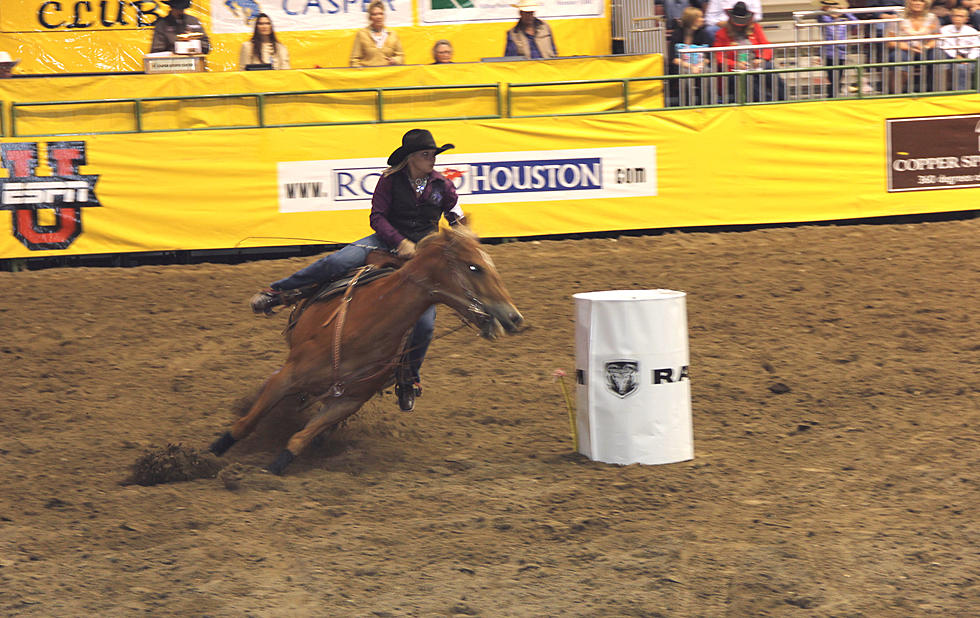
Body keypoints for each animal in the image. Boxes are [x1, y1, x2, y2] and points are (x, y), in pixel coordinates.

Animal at [210, 226, 524, 472]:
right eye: (474, 267)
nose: (514, 318)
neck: (362, 327)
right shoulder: (289, 376)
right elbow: (245, 424)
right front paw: (211, 454)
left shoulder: (349, 401)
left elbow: (299, 439)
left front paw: (273, 468)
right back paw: (268, 298)